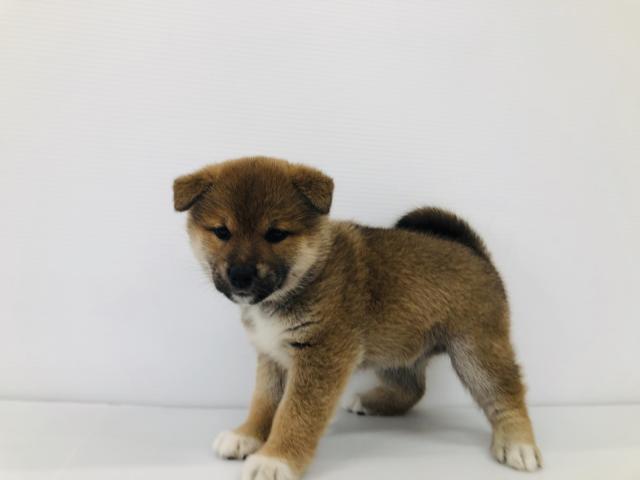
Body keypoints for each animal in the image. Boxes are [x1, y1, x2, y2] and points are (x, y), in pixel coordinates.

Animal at [173, 156, 542, 479]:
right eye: (222, 232)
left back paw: (518, 443)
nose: (241, 275)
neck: (308, 275)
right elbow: (265, 402)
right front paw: (247, 434)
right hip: (396, 349)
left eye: (276, 234)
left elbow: (294, 414)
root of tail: (476, 253)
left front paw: (276, 458)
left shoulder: (320, 357)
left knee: (505, 394)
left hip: (475, 352)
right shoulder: (272, 355)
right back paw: (373, 401)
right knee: (413, 388)